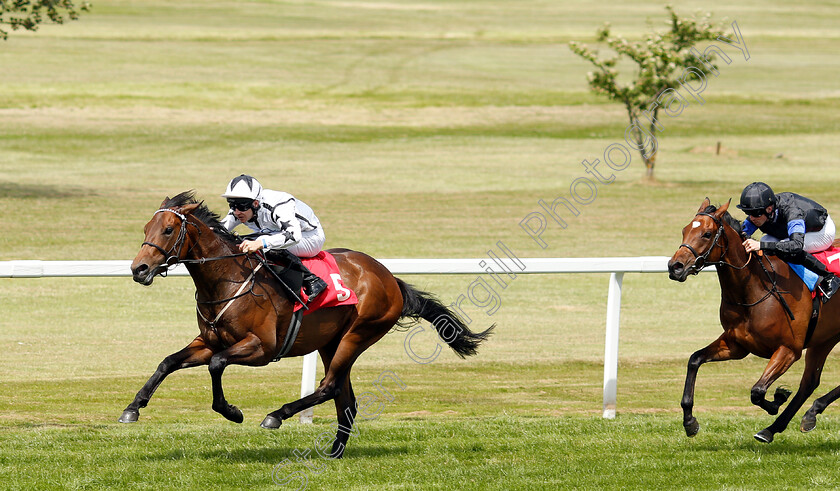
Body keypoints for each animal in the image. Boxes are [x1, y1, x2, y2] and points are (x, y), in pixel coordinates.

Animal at [118, 191, 492, 458]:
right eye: (146, 230)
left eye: (168, 230)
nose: (139, 269)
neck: (226, 279)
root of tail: (389, 278)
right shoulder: (208, 340)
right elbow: (167, 362)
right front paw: (132, 408)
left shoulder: (261, 348)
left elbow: (217, 364)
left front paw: (232, 412)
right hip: (331, 342)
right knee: (345, 398)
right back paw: (334, 452)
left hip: (358, 334)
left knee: (328, 387)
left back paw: (277, 415)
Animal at [668, 198, 840, 444]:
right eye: (684, 230)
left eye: (707, 234)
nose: (675, 267)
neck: (753, 288)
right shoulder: (737, 345)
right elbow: (694, 360)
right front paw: (690, 422)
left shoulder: (789, 349)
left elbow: (757, 391)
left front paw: (777, 398)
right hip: (824, 339)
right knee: (809, 383)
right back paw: (794, 420)